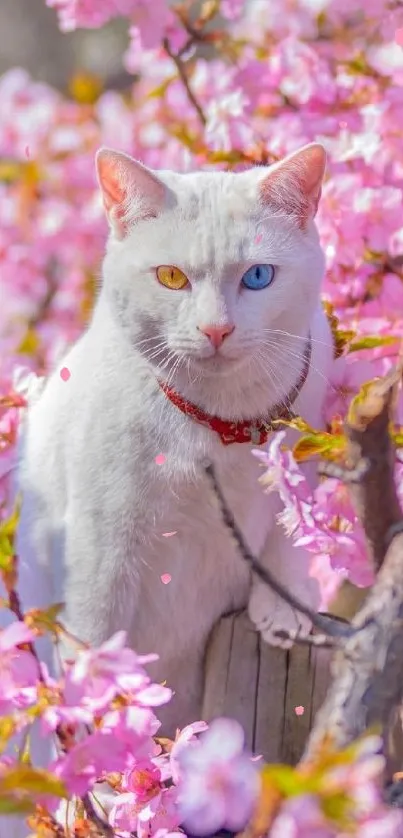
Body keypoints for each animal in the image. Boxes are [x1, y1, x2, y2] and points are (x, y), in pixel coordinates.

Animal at [14, 139, 334, 740]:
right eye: (170, 278)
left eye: (258, 276)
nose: (216, 329)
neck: (220, 421)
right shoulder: (100, 537)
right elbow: (95, 628)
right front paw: (98, 712)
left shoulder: (301, 440)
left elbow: (288, 530)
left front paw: (285, 609)